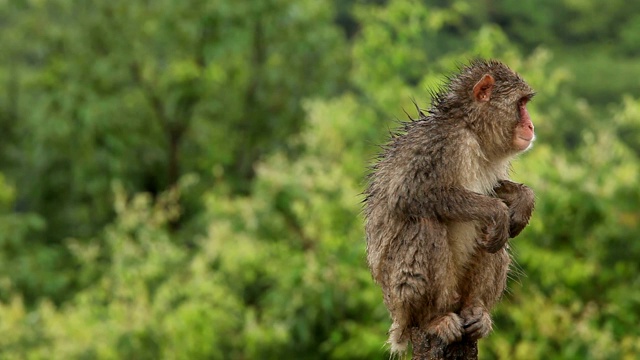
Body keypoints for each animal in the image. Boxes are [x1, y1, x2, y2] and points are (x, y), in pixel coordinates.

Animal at [364, 59, 536, 354]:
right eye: (520, 104)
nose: (531, 125)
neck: (471, 129)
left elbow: (494, 188)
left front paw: (523, 200)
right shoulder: (440, 144)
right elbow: (407, 192)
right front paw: (497, 211)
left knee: (493, 240)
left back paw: (476, 309)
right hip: (400, 296)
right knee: (425, 223)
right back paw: (433, 318)